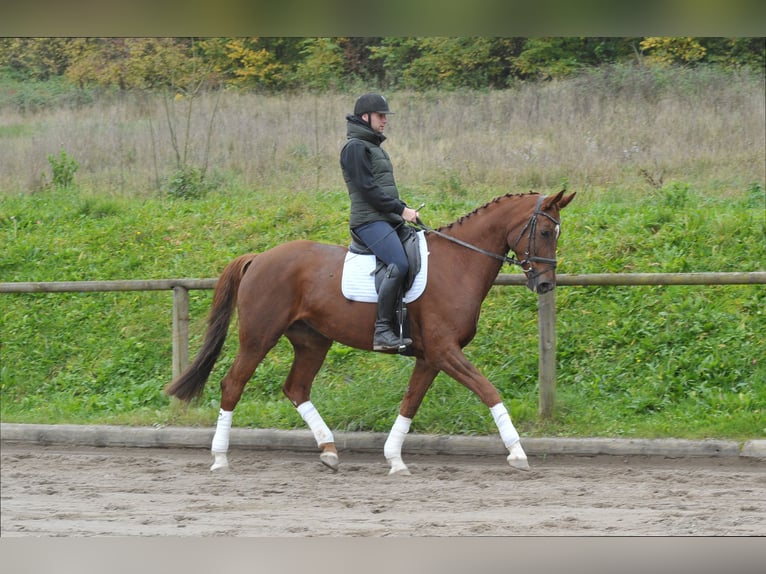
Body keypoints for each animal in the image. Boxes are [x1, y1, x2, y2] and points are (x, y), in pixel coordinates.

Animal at [168, 191, 576, 474]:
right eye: (544, 231)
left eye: (557, 233)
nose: (545, 285)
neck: (459, 263)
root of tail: (259, 258)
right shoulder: (445, 351)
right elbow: (488, 390)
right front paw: (517, 452)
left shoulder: (431, 357)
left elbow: (410, 402)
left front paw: (394, 459)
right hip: (259, 336)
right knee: (233, 384)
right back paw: (220, 458)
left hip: (312, 340)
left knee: (296, 388)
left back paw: (329, 451)